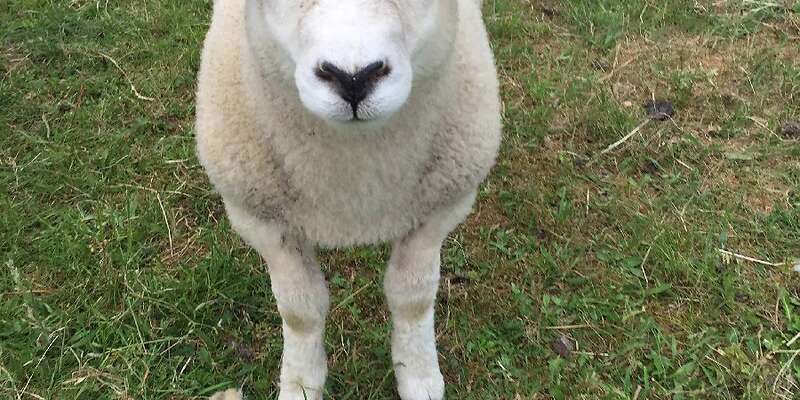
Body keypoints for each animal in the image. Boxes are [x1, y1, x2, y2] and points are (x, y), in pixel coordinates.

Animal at [196, 0, 501, 399]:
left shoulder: (439, 208)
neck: (354, 193)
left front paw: (419, 377)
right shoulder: (261, 220)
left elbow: (414, 298)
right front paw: (301, 384)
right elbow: (300, 311)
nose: (353, 80)